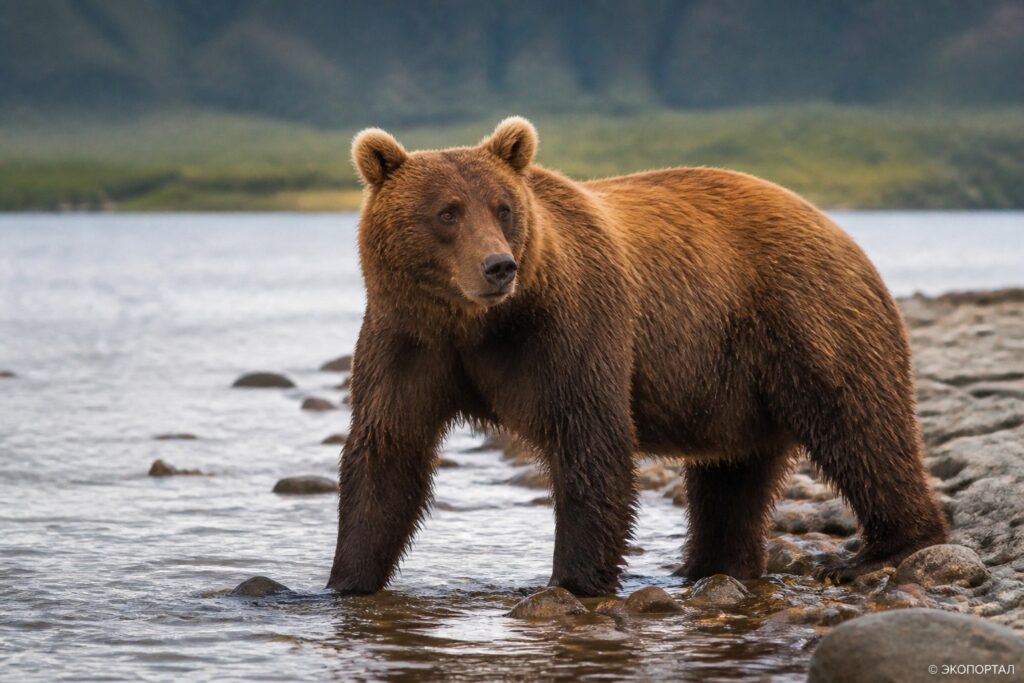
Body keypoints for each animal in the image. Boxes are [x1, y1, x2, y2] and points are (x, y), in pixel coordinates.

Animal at [327, 116, 947, 597]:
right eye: (448, 212)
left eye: (502, 208)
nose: (498, 266)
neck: (476, 324)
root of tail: (832, 223)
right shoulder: (408, 340)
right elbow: (387, 453)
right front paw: (346, 580)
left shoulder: (571, 329)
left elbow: (590, 440)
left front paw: (574, 581)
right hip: (734, 379)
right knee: (734, 475)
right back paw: (712, 565)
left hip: (808, 316)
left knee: (859, 426)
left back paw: (880, 551)